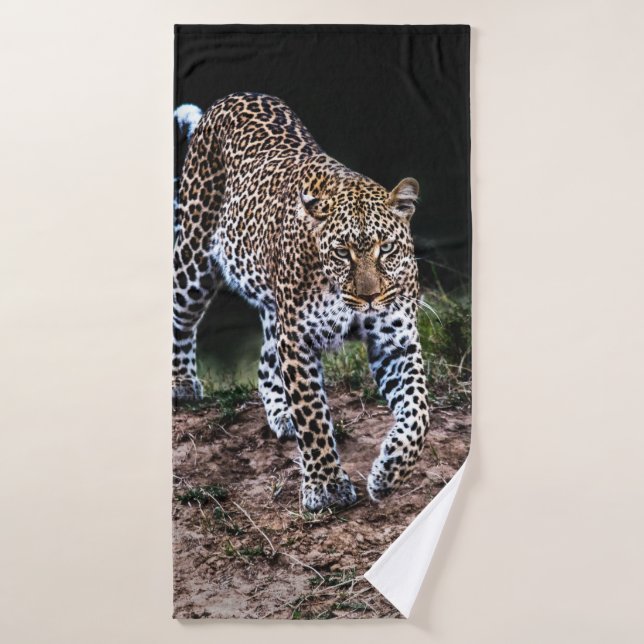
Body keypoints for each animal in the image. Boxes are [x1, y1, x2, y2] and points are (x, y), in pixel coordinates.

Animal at [173, 92, 431, 512]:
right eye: (342, 252)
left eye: (387, 248)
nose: (370, 297)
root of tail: (230, 99)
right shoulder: (299, 339)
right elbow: (313, 416)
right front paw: (327, 488)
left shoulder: (396, 341)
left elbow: (419, 411)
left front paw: (389, 471)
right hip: (193, 260)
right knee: (179, 319)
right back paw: (181, 383)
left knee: (265, 362)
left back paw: (281, 413)